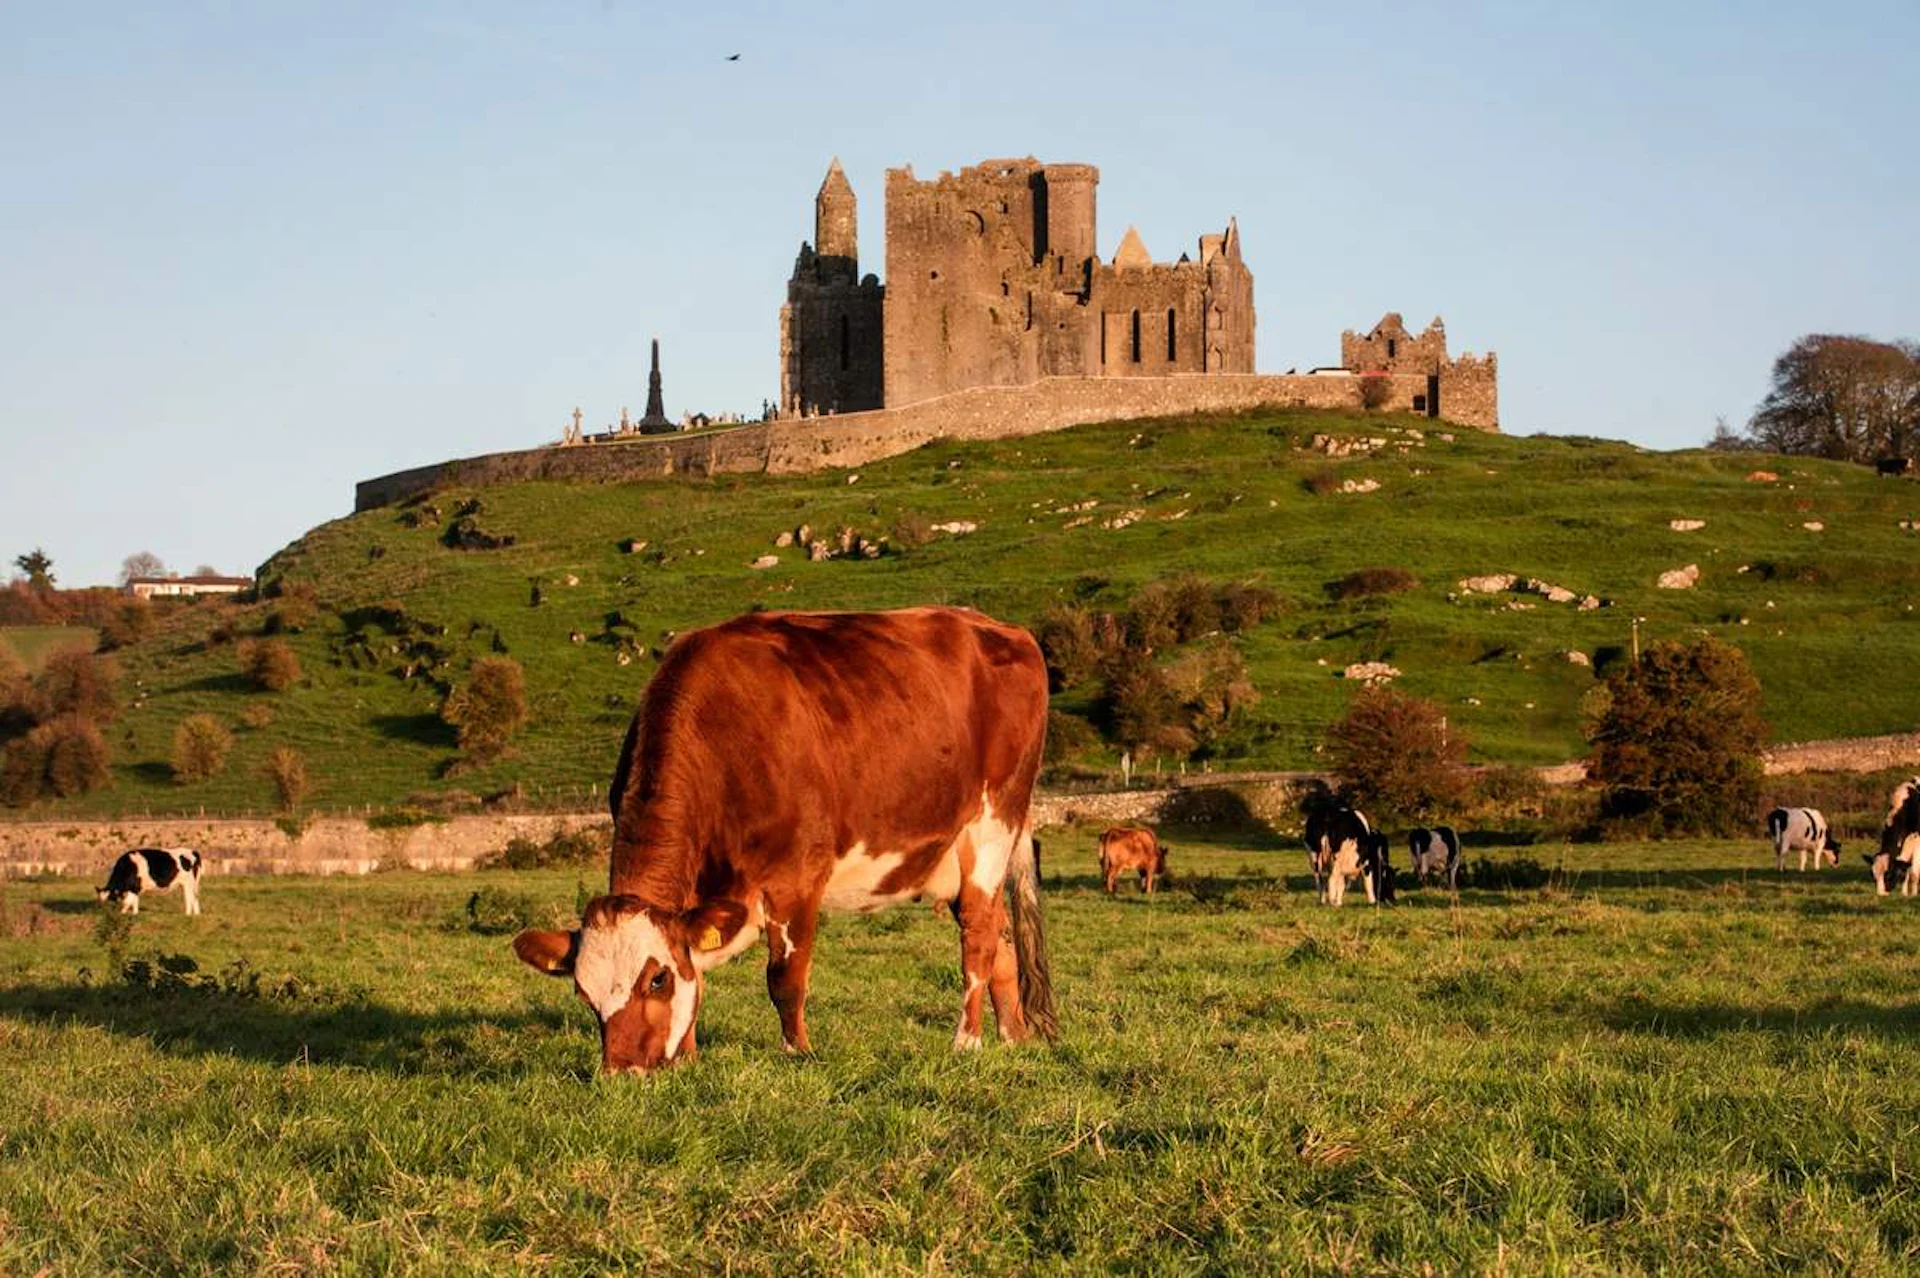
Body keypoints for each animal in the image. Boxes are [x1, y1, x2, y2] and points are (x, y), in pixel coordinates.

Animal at [512, 607, 1056, 1074]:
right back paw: (1013, 1036)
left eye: (656, 979)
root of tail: (1005, 630)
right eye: (584, 994)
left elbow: (785, 980)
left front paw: (798, 1051)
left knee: (980, 936)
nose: (623, 1072)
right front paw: (689, 1057)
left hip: (992, 825)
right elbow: (698, 971)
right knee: (1001, 937)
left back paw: (967, 1040)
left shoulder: (797, 876)